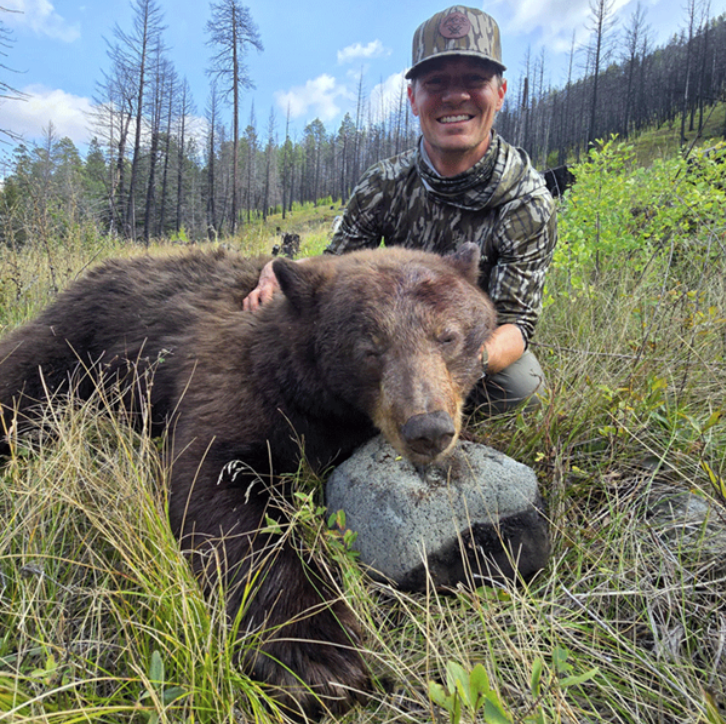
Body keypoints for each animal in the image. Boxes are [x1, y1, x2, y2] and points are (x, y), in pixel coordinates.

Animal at [0, 243, 496, 718]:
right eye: (370, 348)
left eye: (448, 336)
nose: (427, 429)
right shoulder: (234, 380)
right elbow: (217, 490)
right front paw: (317, 657)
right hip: (73, 345)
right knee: (22, 385)